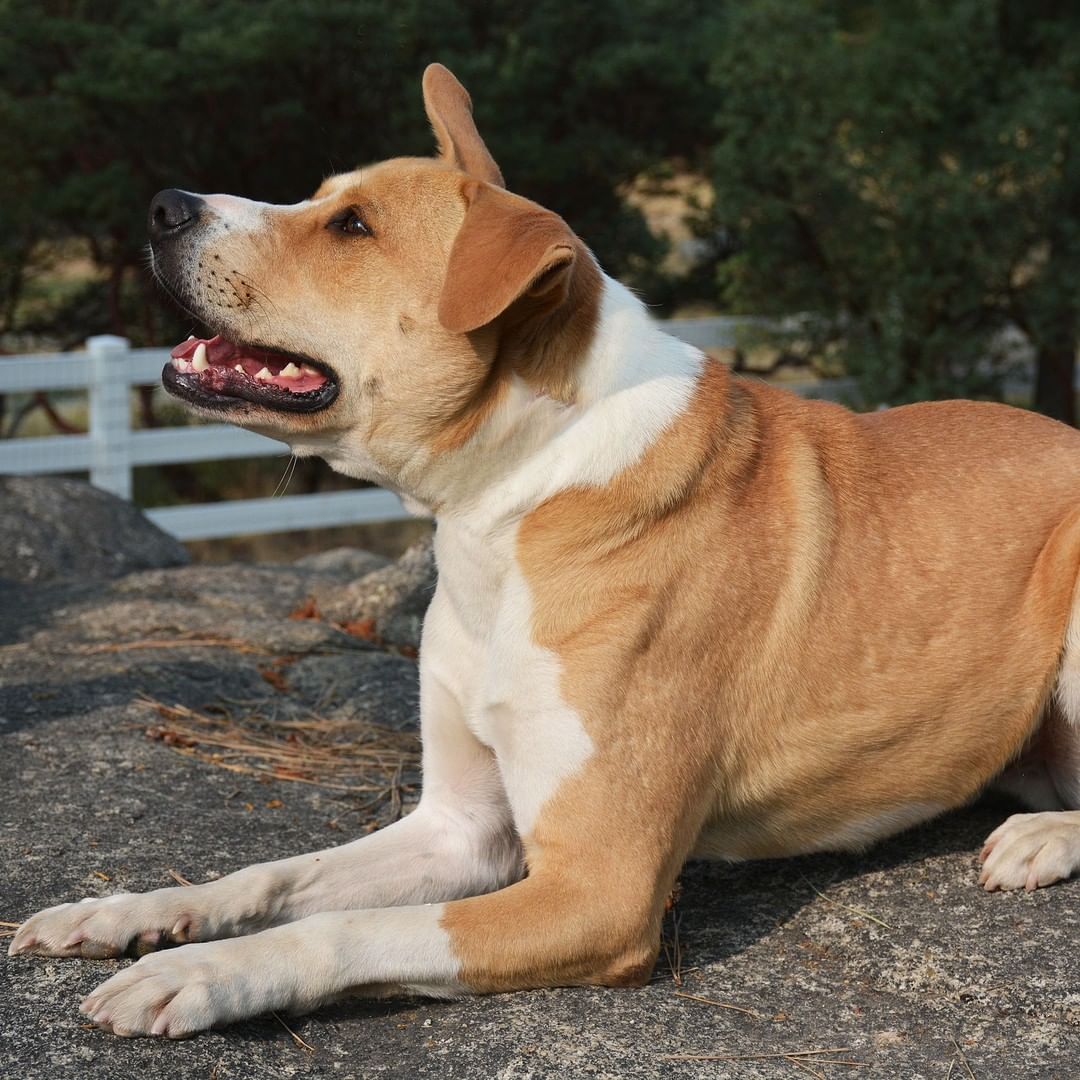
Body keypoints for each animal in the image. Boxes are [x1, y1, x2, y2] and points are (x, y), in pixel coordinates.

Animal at [12, 61, 1080, 1036]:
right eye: (322, 199)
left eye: (353, 227)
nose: (163, 206)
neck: (514, 492)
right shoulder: (456, 832)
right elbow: (274, 875)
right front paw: (131, 912)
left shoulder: (597, 891)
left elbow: (338, 929)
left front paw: (196, 975)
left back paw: (1041, 839)